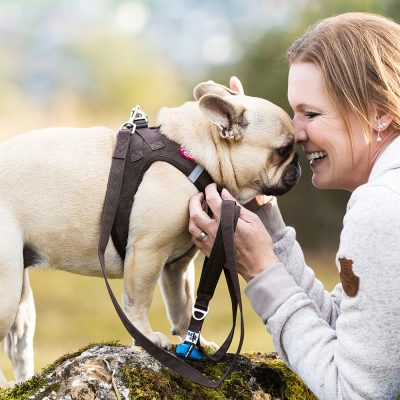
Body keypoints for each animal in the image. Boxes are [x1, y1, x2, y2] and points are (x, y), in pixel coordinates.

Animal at [0, 79, 300, 384]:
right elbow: (139, 300)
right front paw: (145, 337)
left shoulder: (178, 265)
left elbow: (185, 305)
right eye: (284, 150)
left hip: (22, 303)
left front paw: (196, 345)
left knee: (18, 344)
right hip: (6, 290)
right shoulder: (147, 252)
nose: (298, 164)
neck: (195, 155)